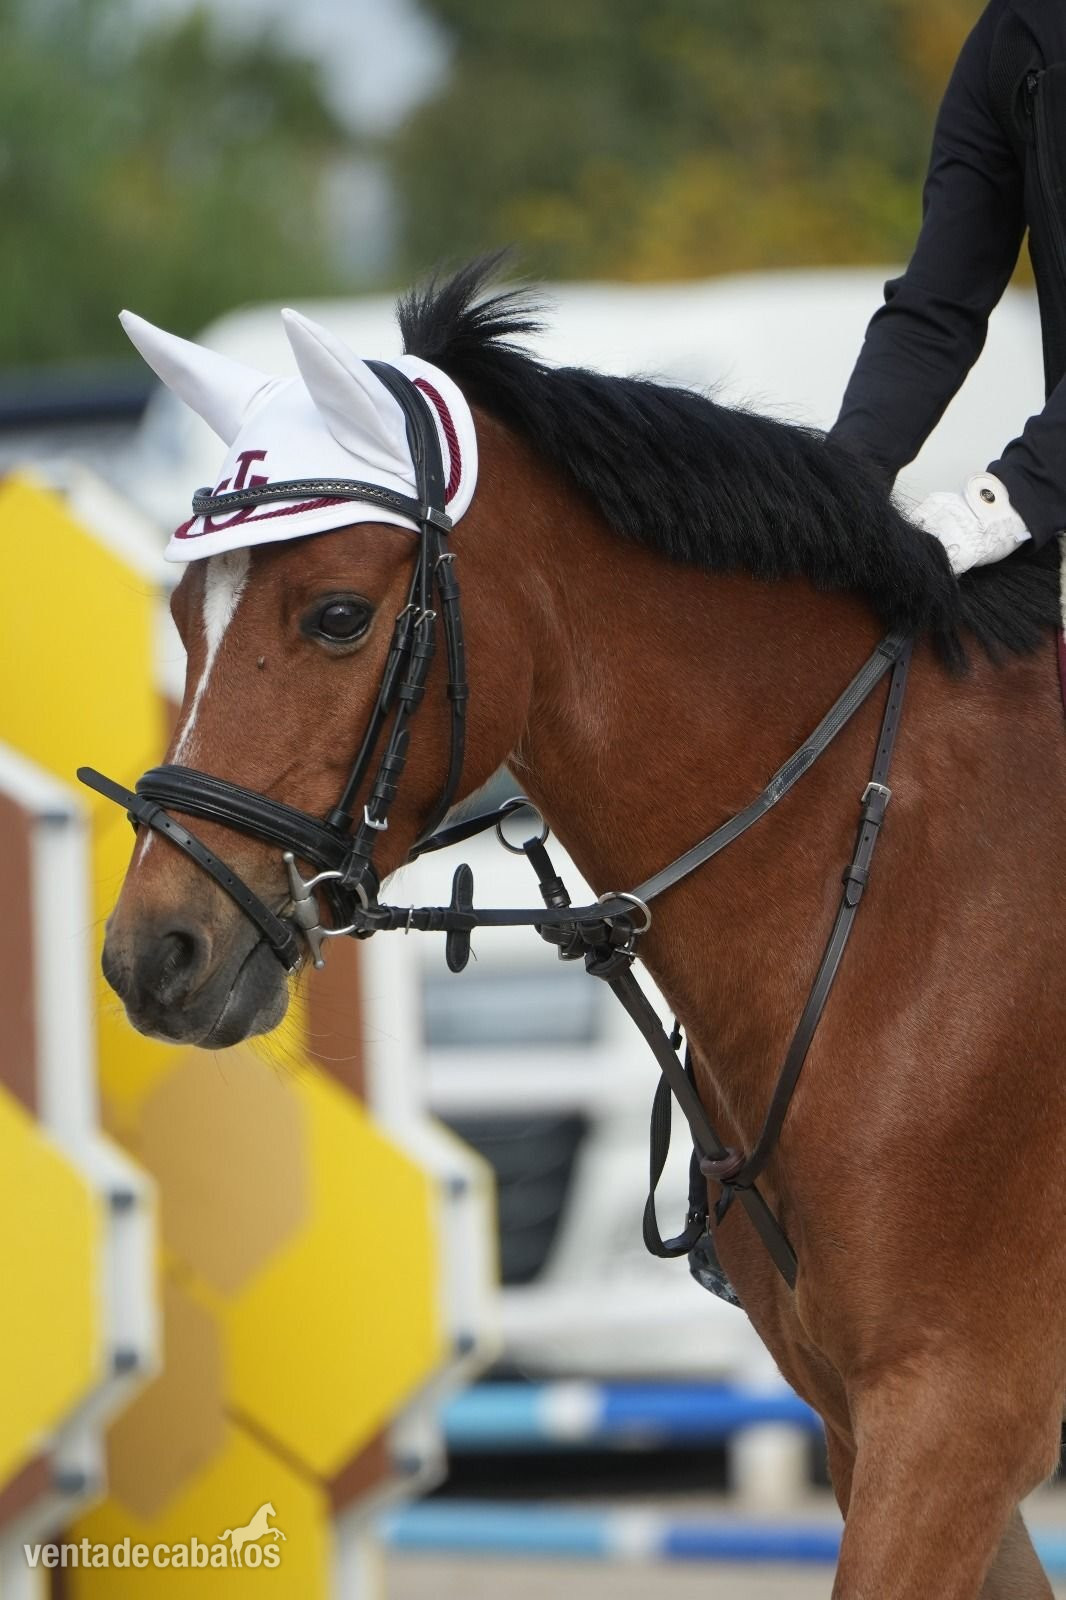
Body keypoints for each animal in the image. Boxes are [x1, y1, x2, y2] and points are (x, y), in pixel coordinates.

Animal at [95, 259, 1066, 1598]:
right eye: (189, 612)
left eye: (338, 615)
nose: (154, 956)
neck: (889, 878)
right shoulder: (873, 1421)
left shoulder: (955, 1409)